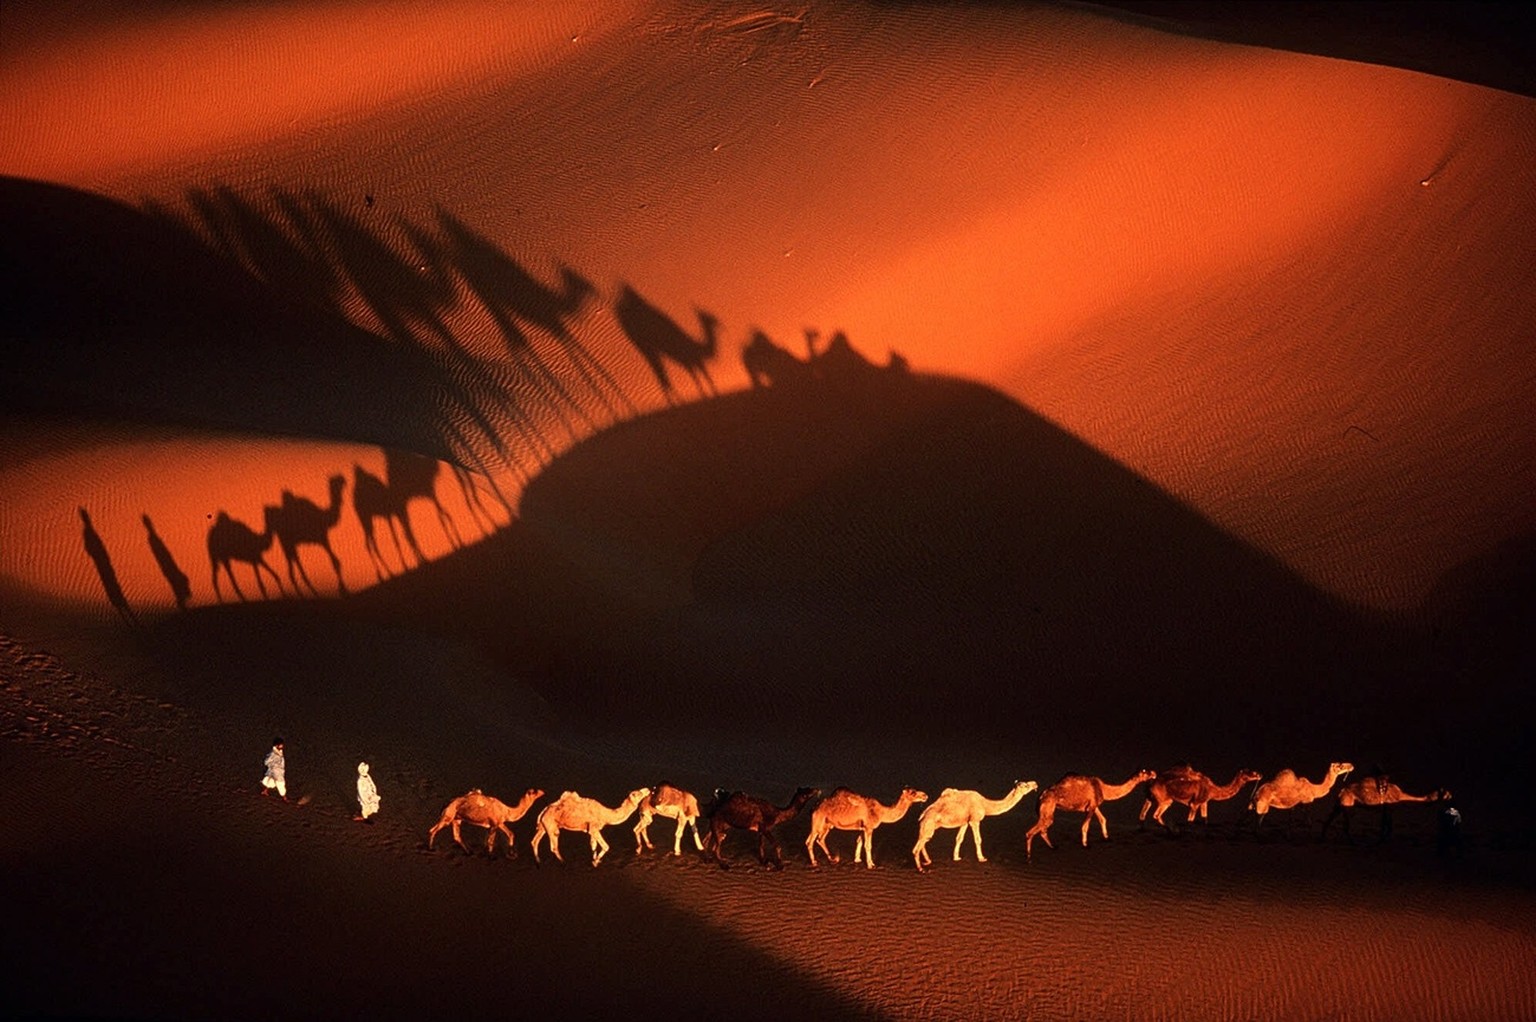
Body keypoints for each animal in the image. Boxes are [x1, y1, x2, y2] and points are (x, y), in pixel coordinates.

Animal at [909, 780, 1044, 866]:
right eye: (1025, 785)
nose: (1035, 783)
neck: (985, 804)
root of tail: (922, 815)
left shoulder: (964, 822)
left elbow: (959, 839)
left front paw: (956, 857)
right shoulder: (974, 820)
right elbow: (978, 839)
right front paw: (982, 858)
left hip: (929, 826)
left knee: (923, 840)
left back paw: (927, 861)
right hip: (929, 824)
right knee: (922, 842)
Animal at [1026, 768, 1155, 854]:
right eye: (1145, 772)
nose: (1154, 773)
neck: (1104, 788)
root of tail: (1040, 797)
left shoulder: (1094, 806)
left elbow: (1103, 819)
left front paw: (1107, 838)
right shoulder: (1092, 806)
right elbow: (1085, 826)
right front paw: (1085, 845)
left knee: (1043, 830)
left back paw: (1053, 847)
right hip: (1048, 808)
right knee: (1036, 830)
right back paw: (1029, 856)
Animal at [1136, 765, 1265, 829]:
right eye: (1251, 772)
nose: (1260, 774)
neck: (1213, 789)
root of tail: (1150, 782)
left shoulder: (1204, 802)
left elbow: (1205, 819)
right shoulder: (1195, 803)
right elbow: (1190, 821)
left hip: (1150, 798)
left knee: (1142, 814)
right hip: (1165, 800)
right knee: (1156, 815)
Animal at [1320, 777, 1449, 842]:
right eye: (1446, 793)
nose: (1451, 795)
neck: (1400, 795)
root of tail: (1342, 792)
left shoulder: (1386, 809)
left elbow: (1386, 825)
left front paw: (1383, 838)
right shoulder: (1389, 807)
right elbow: (1388, 826)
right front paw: (1383, 839)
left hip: (1339, 805)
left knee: (1330, 818)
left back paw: (1323, 837)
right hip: (1348, 804)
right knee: (1346, 825)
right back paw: (1352, 841)